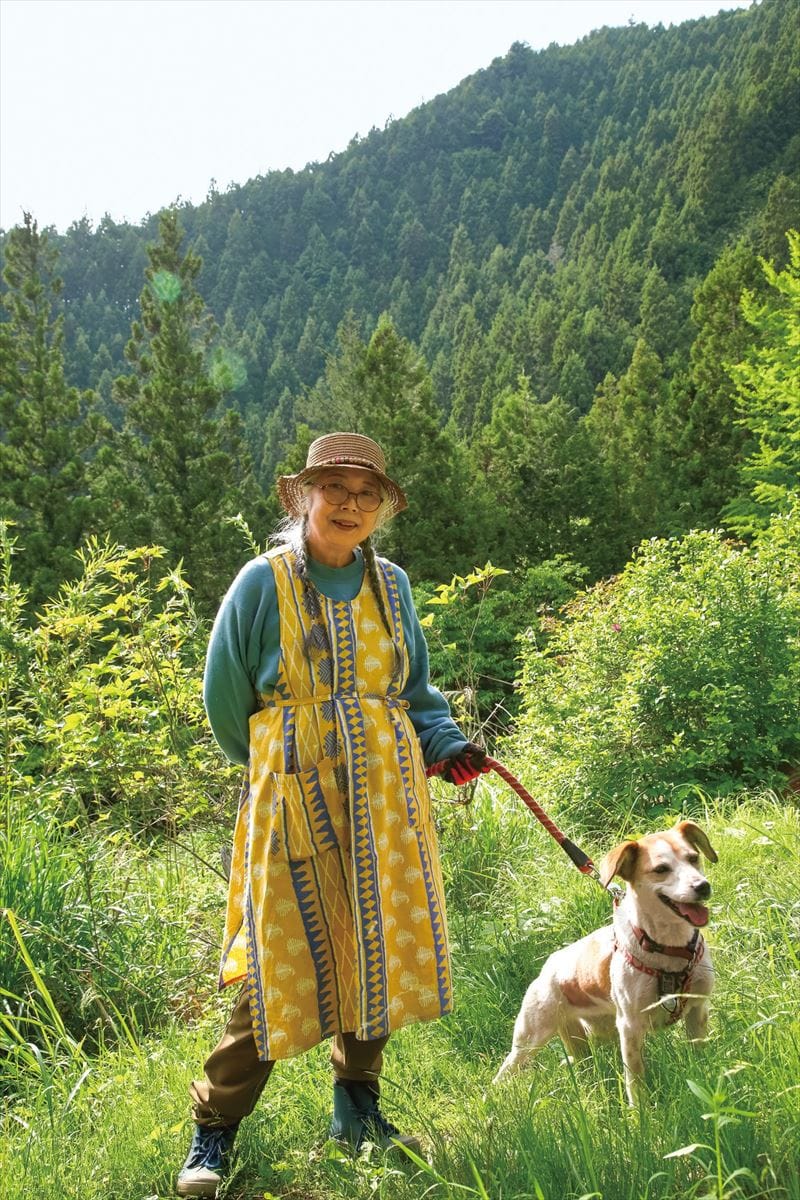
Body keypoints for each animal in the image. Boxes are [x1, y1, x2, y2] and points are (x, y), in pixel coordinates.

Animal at [496, 816, 714, 1104]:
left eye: (693, 858)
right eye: (661, 869)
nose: (703, 886)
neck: (669, 950)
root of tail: (547, 967)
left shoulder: (698, 1009)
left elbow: (700, 1057)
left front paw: (705, 1081)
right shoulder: (630, 1026)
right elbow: (635, 1079)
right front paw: (639, 1112)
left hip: (591, 1036)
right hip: (530, 1037)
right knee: (504, 1072)